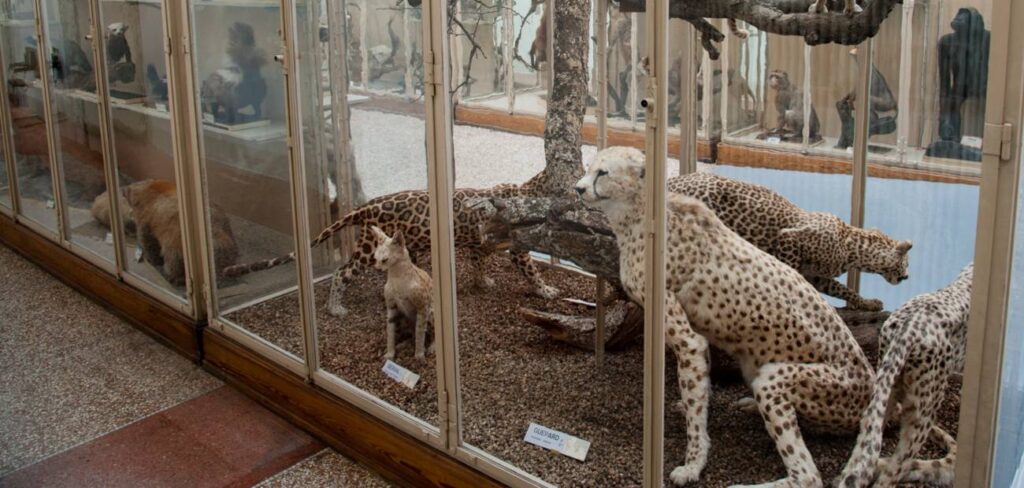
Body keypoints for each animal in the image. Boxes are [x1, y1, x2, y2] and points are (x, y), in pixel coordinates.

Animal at [224, 182, 561, 315]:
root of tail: (365, 206)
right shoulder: (519, 250)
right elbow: (532, 272)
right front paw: (546, 291)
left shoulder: (479, 246)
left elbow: (479, 261)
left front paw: (482, 281)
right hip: (367, 249)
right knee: (341, 273)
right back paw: (335, 308)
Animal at [370, 226, 430, 360]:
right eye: (375, 259)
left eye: (385, 260)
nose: (377, 268)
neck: (397, 278)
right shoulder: (391, 307)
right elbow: (390, 332)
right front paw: (390, 354)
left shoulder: (422, 307)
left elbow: (420, 331)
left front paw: (419, 355)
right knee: (410, 333)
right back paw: (403, 344)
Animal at [577, 147, 872, 486]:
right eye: (589, 168)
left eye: (603, 173)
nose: (579, 188)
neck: (640, 213)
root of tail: (872, 386)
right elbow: (698, 391)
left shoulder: (688, 339)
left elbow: (694, 406)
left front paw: (692, 464)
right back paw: (749, 405)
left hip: (778, 381)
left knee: (808, 476)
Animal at [667, 170, 917, 311]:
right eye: (906, 263)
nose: (907, 276)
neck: (853, 250)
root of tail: (675, 181)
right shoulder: (789, 238)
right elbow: (791, 269)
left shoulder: (818, 276)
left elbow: (844, 289)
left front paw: (867, 303)